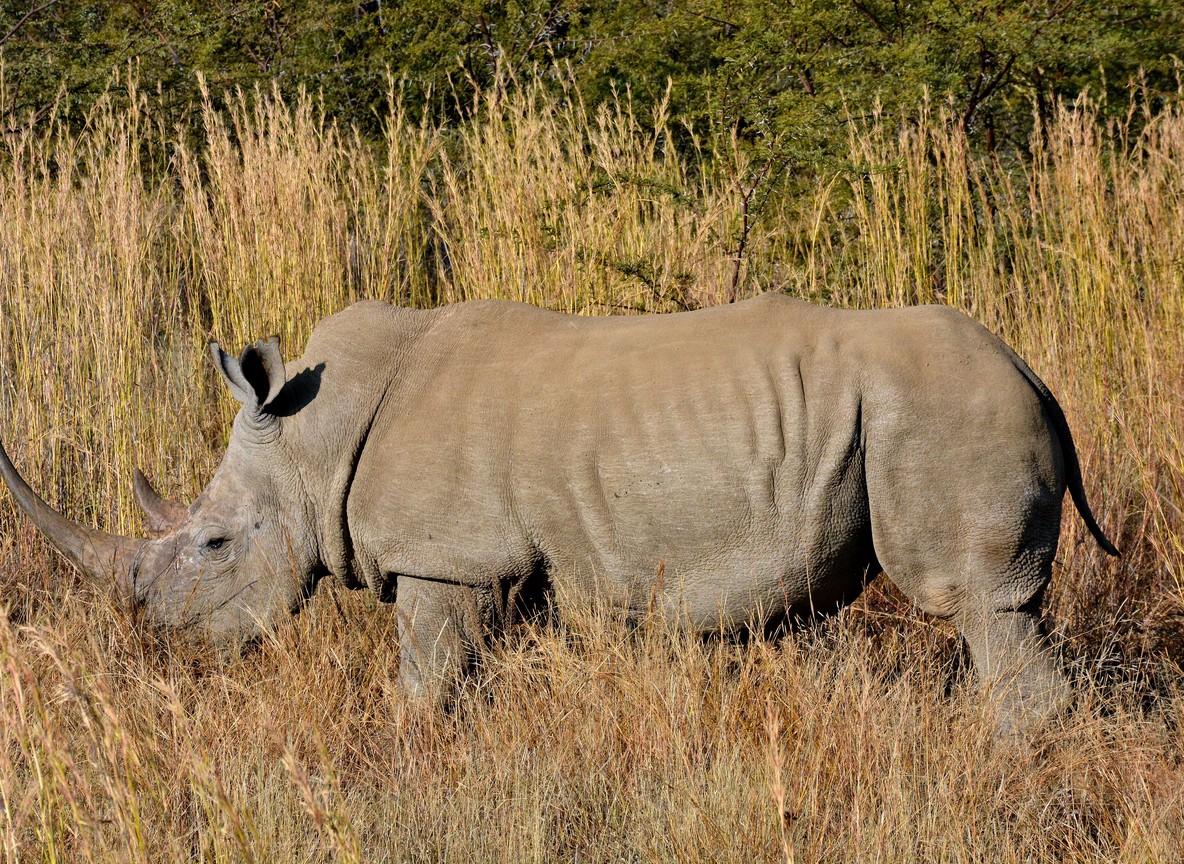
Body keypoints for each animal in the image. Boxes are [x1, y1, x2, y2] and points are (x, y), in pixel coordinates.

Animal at [0, 293, 1117, 727]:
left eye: (214, 543)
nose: (150, 639)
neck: (314, 440)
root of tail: (1034, 374)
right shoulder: (504, 566)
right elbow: (475, 676)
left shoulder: (448, 558)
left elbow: (426, 685)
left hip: (943, 413)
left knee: (979, 605)